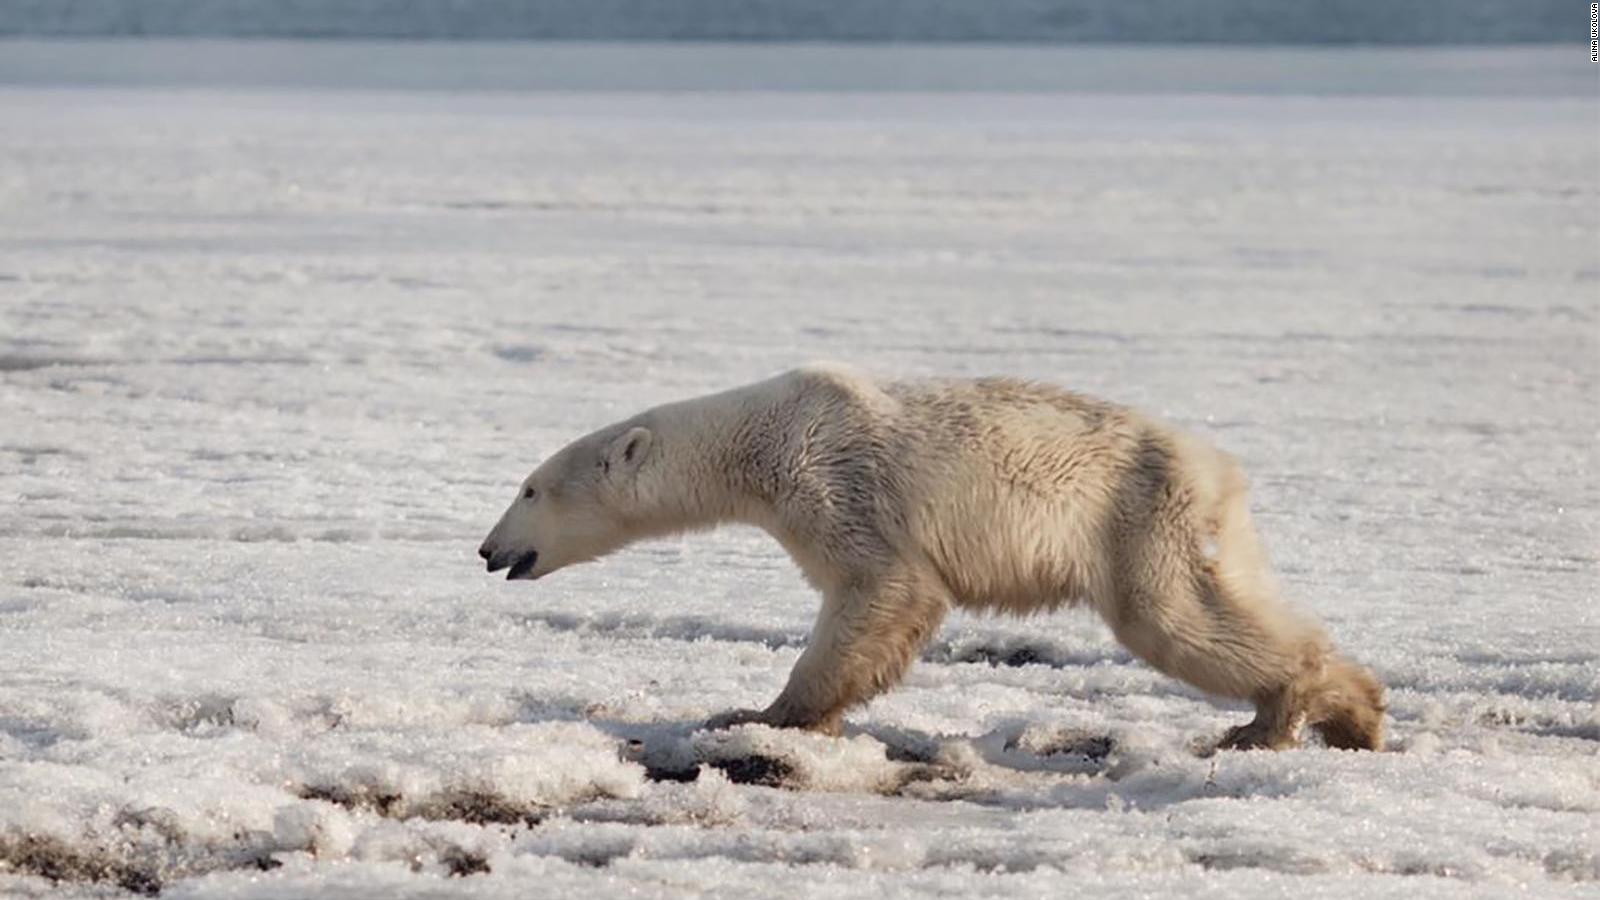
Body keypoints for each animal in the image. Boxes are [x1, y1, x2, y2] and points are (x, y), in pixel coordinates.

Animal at [476, 365, 1388, 749]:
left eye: (529, 488)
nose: (488, 551)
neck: (758, 439)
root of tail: (1218, 469)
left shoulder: (834, 478)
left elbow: (882, 588)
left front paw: (759, 714)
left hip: (1137, 514)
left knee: (1171, 620)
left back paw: (1275, 718)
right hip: (1193, 525)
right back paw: (1353, 711)